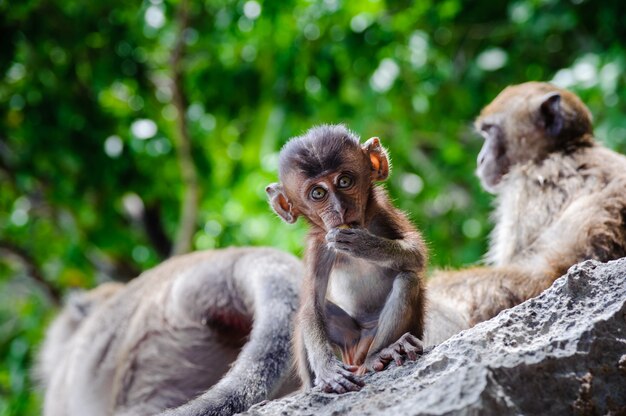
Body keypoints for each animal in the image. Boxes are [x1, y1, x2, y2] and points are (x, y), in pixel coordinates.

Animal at [266, 124, 426, 394]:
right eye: (318, 193)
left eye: (344, 181)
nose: (340, 209)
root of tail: (356, 357)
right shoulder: (320, 246)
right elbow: (311, 304)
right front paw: (328, 371)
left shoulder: (382, 212)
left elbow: (417, 255)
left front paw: (362, 244)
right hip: (351, 341)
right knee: (307, 314)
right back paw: (314, 385)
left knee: (408, 280)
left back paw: (379, 355)